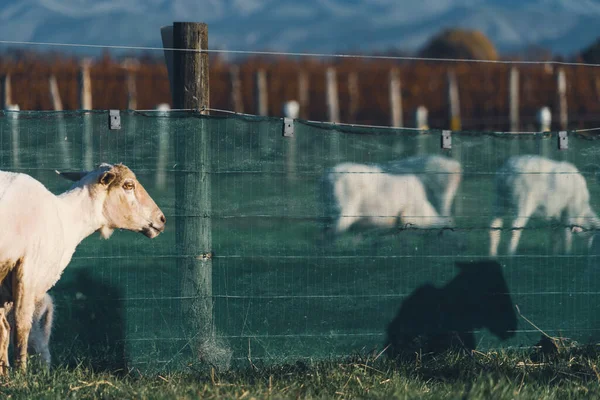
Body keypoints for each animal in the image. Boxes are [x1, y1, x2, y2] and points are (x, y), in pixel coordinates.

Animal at [0, 163, 165, 376]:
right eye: (128, 185)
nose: (161, 219)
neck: (67, 219)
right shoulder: (28, 268)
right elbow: (20, 326)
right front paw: (21, 375)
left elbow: (3, 330)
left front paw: (5, 374)